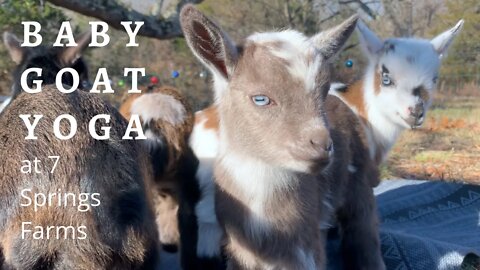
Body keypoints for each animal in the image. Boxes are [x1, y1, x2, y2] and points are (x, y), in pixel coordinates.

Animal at [182, 5, 384, 268]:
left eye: (322, 91)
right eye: (260, 99)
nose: (321, 146)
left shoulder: (307, 246)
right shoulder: (240, 251)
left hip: (360, 178)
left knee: (363, 230)